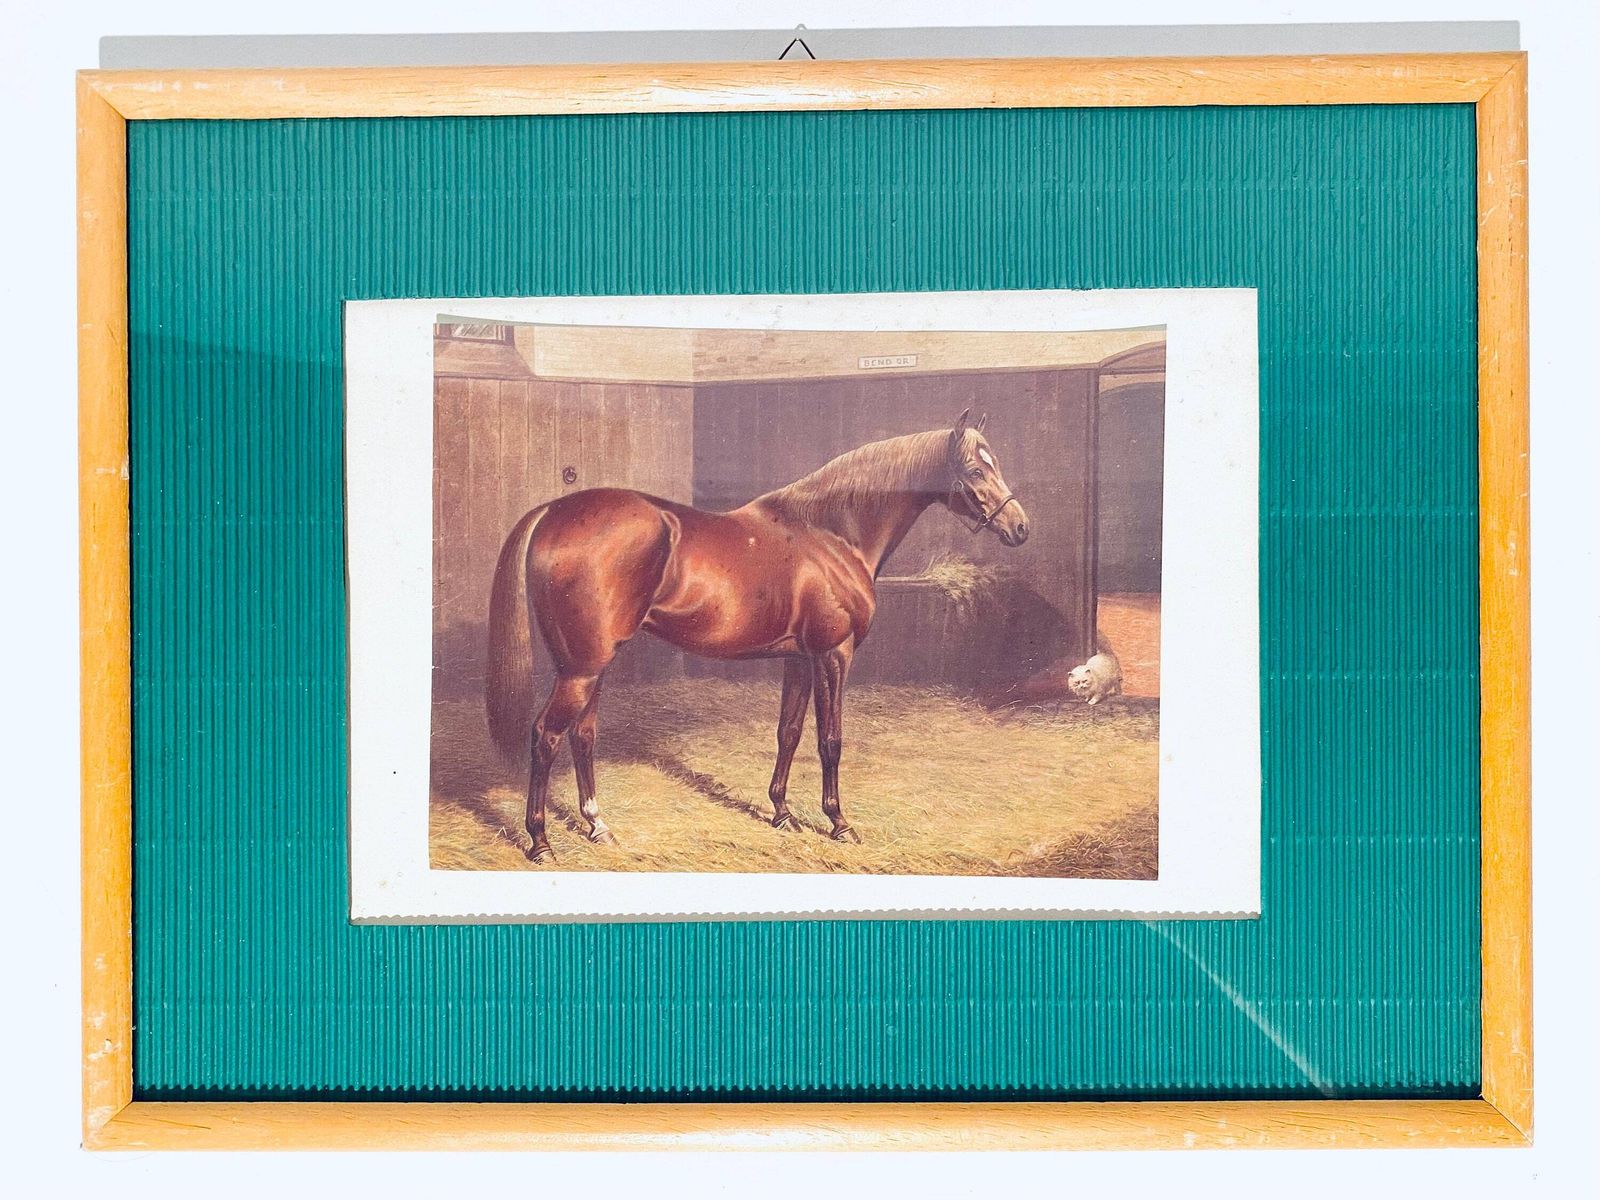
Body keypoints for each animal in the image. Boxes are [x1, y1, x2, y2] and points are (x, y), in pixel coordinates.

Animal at [485, 409, 1030, 862]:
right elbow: (830, 739)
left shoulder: (799, 659)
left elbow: (788, 733)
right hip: (581, 670)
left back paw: (598, 827)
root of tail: (553, 511)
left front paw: (782, 814)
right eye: (975, 470)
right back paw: (539, 842)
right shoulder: (834, 654)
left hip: (588, 666)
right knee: (546, 736)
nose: (1020, 527)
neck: (830, 534)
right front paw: (839, 823)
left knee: (583, 736)